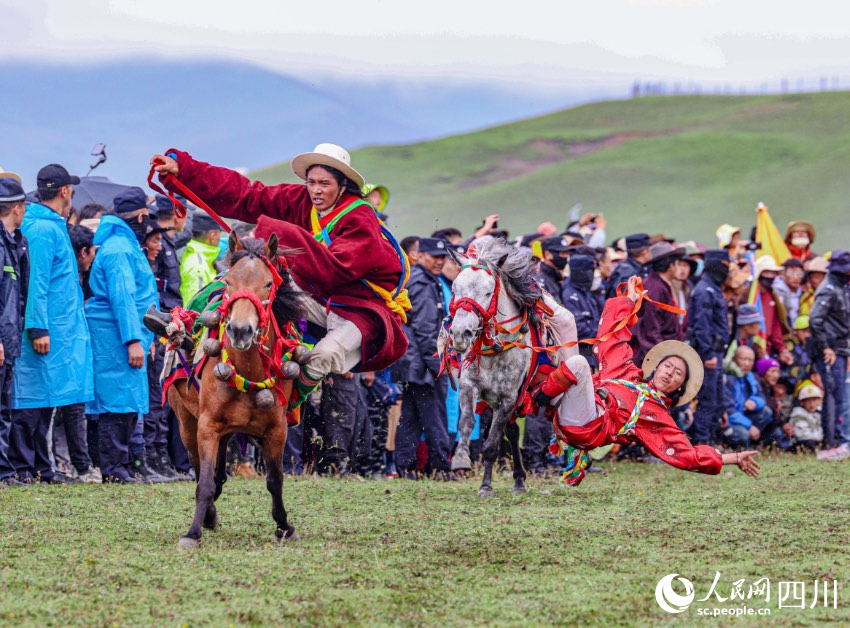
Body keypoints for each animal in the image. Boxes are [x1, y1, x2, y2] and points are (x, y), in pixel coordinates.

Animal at [167, 233, 304, 548]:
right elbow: (203, 481)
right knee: (198, 467)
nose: (241, 330)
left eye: (268, 283)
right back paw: (208, 514)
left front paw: (284, 525)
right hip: (186, 421)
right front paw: (193, 532)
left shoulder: (277, 429)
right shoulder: (206, 426)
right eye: (229, 281)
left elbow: (275, 480)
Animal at [444, 238, 576, 498]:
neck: (495, 349)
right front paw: (461, 458)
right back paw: (518, 479)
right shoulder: (469, 387)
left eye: (487, 291)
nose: (460, 333)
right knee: (513, 433)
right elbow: (467, 423)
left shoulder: (508, 398)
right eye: (454, 288)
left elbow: (492, 443)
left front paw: (485, 486)